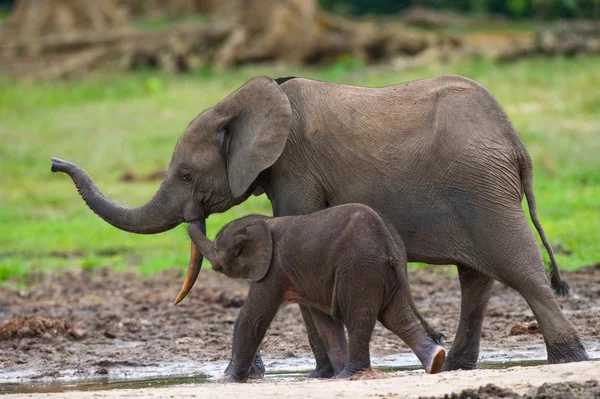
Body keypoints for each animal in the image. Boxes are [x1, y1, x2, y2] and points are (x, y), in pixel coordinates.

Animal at [188, 205, 446, 382]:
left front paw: (227, 381)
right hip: (387, 274)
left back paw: (349, 375)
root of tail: (389, 244)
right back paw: (435, 360)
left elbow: (254, 318)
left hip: (360, 269)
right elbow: (325, 323)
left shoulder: (272, 269)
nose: (192, 217)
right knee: (397, 318)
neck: (264, 222)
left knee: (359, 319)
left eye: (218, 248)